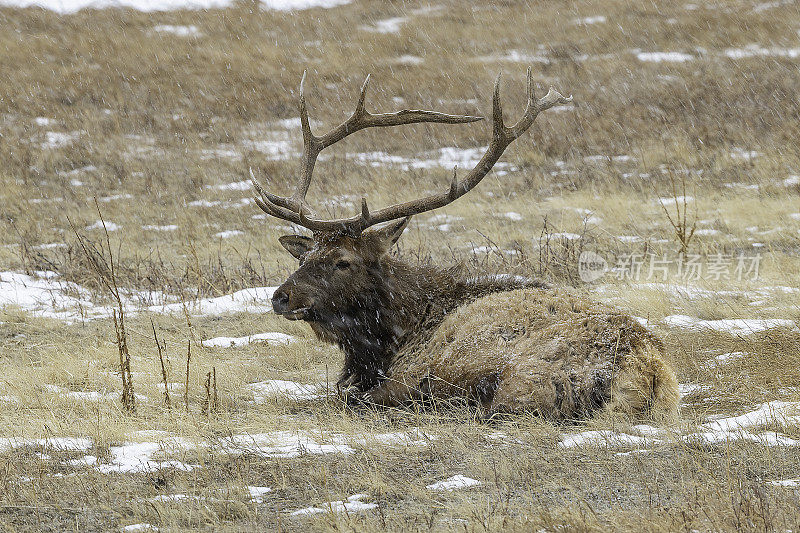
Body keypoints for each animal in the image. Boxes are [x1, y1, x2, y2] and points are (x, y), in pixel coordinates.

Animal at [253, 69, 680, 420]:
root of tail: (643, 372)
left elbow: (348, 395)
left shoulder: (411, 370)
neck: (391, 339)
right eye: (305, 256)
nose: (280, 296)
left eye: (343, 261)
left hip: (510, 374)